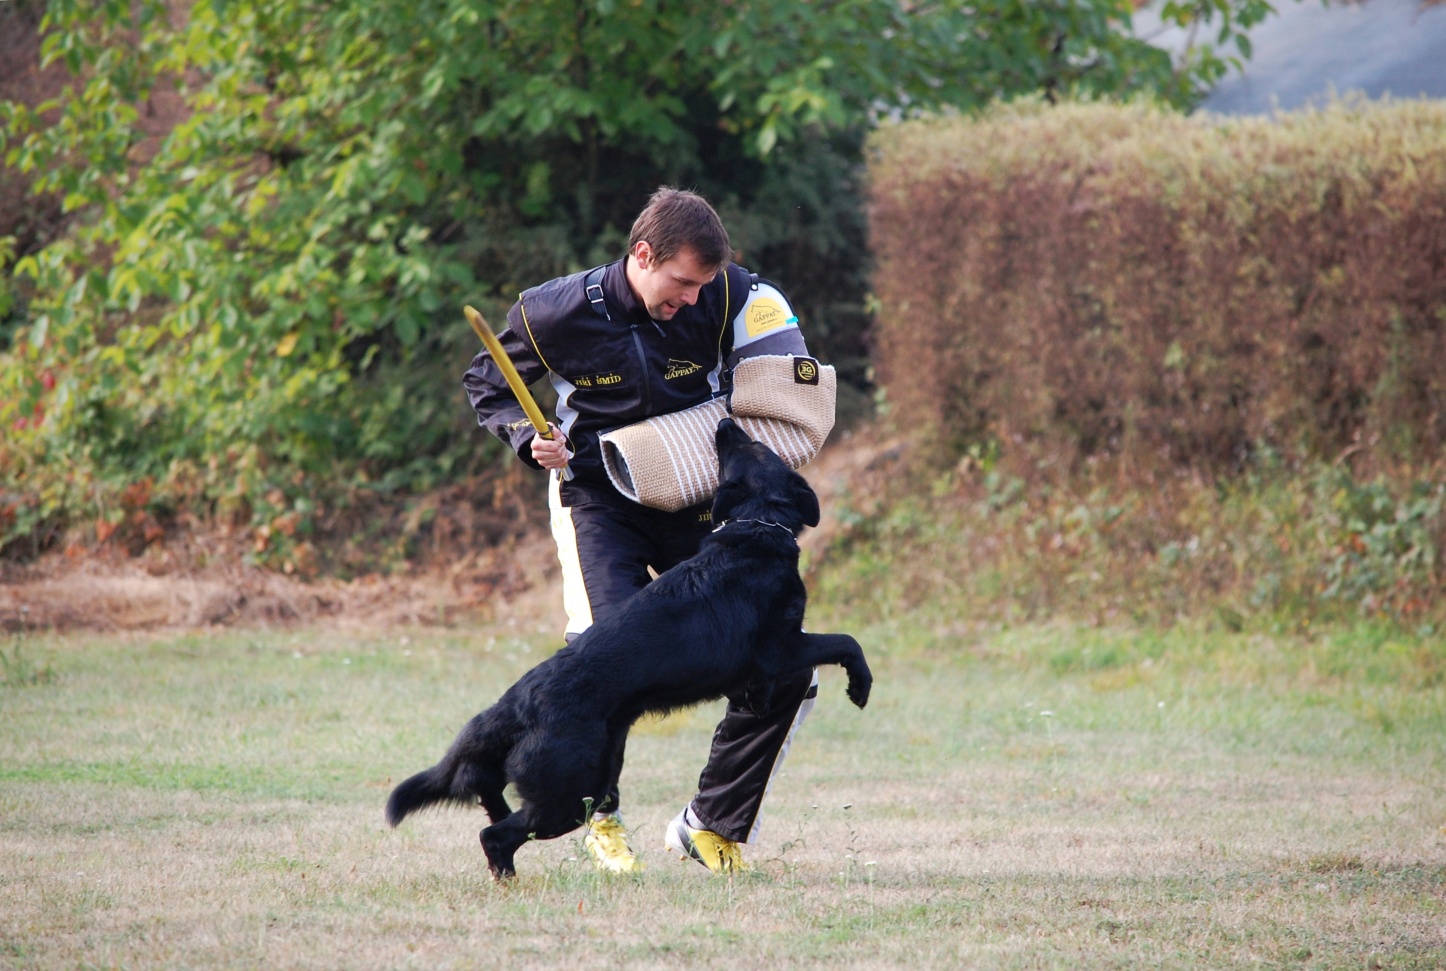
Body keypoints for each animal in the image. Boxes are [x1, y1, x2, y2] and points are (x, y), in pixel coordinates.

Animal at [384, 416, 867, 878]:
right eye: (758, 446)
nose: (724, 423)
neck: (756, 526)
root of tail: (513, 705)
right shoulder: (783, 649)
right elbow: (847, 641)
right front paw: (860, 687)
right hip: (568, 791)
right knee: (496, 834)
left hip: (593, 776)